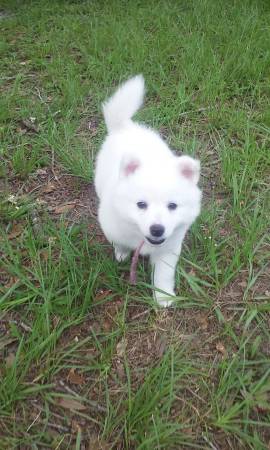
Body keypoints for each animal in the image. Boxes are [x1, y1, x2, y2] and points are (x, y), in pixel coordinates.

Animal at [94, 75, 201, 308]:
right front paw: (122, 253)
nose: (157, 229)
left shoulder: (168, 249)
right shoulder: (113, 226)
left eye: (172, 206)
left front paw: (163, 296)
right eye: (141, 205)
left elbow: (163, 274)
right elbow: (119, 243)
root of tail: (125, 127)